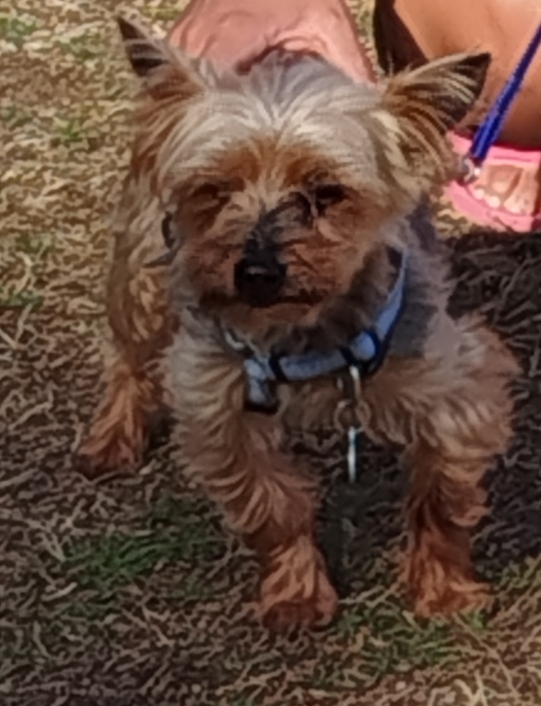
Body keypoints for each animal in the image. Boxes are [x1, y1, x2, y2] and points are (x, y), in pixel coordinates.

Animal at [78, 12, 517, 631]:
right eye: (215, 190)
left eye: (327, 192)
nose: (257, 271)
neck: (303, 329)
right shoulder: (216, 401)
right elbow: (272, 504)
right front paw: (297, 594)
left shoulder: (452, 387)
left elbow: (441, 492)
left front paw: (444, 590)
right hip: (143, 263)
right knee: (128, 353)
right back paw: (110, 438)